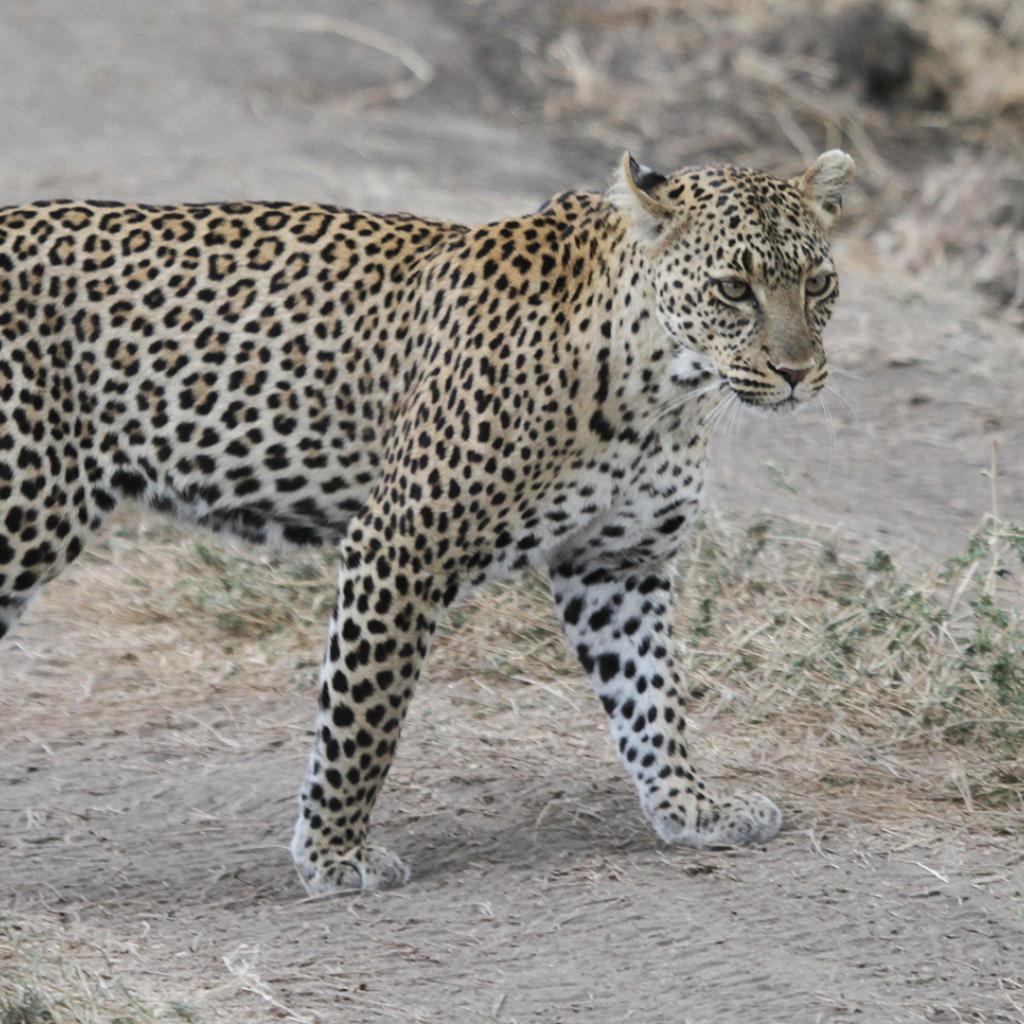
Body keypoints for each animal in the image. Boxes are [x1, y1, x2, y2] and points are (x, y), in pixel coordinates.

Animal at [0, 148, 856, 892]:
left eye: (818, 283)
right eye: (733, 289)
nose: (797, 372)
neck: (664, 389)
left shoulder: (618, 563)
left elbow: (652, 696)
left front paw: (693, 807)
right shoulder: (400, 546)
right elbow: (364, 715)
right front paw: (335, 854)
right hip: (23, 512)